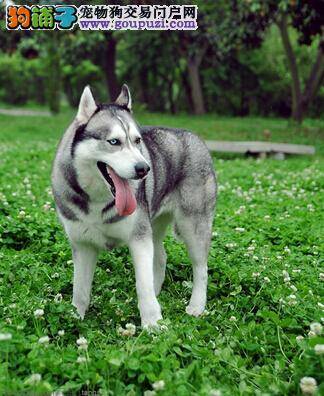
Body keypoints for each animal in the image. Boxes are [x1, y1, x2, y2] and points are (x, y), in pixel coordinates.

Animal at [52, 86, 216, 328]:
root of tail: (195, 137)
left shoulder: (139, 239)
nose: (144, 168)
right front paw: (75, 319)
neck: (98, 200)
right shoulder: (83, 244)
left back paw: (197, 306)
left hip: (193, 226)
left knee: (201, 268)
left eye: (137, 140)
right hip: (154, 223)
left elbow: (143, 285)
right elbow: (80, 289)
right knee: (161, 257)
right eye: (114, 142)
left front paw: (153, 325)